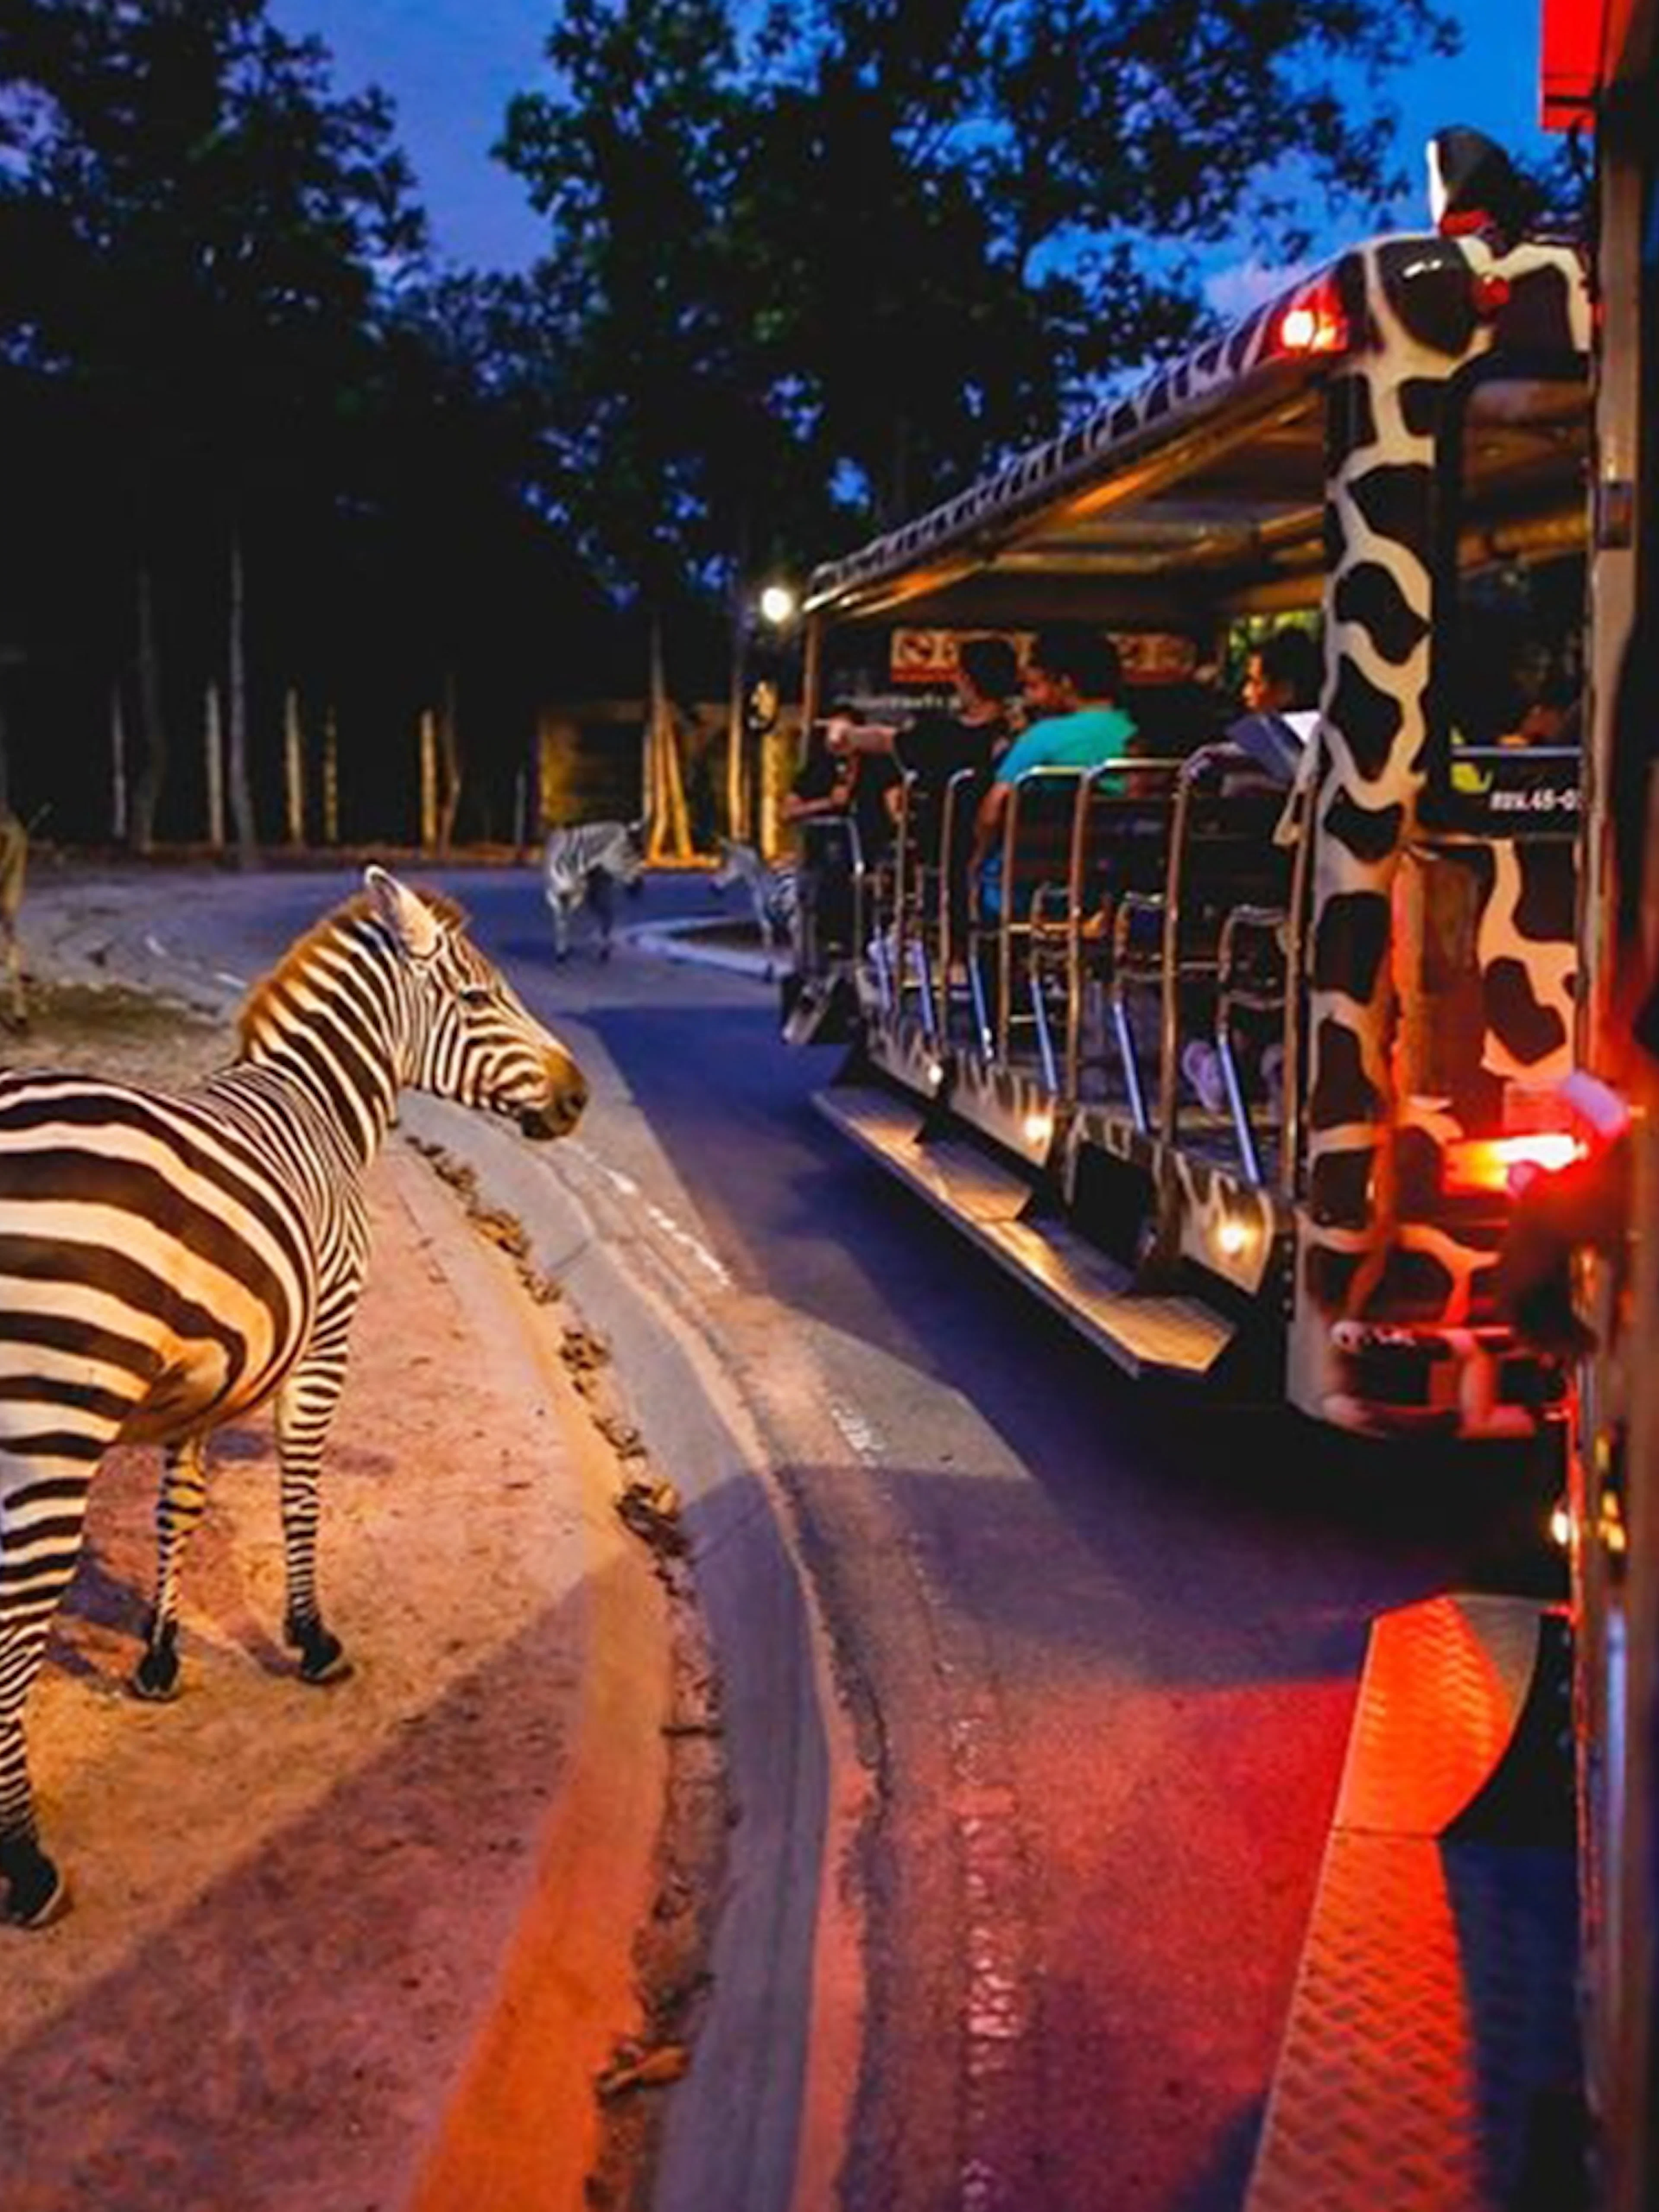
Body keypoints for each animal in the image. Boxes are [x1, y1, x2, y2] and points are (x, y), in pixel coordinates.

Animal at [0, 866, 586, 1928]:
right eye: (480, 998)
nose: (579, 1098)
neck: (320, 1107)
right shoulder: (326, 1328)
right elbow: (301, 1486)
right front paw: (311, 1639)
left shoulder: (204, 1366)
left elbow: (178, 1503)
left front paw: (159, 1658)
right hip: (55, 1419)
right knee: (14, 1620)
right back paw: (26, 1864)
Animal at [541, 819, 645, 961]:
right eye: (627, 855)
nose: (639, 886)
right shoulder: (554, 895)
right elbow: (561, 921)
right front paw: (561, 953)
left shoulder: (577, 895)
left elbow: (568, 920)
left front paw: (564, 951)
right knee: (602, 915)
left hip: (600, 892)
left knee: (607, 916)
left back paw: (605, 951)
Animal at [712, 839, 799, 974]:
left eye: (725, 865)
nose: (714, 887)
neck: (758, 879)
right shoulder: (777, 915)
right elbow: (775, 938)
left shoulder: (763, 914)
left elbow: (767, 938)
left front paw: (769, 970)